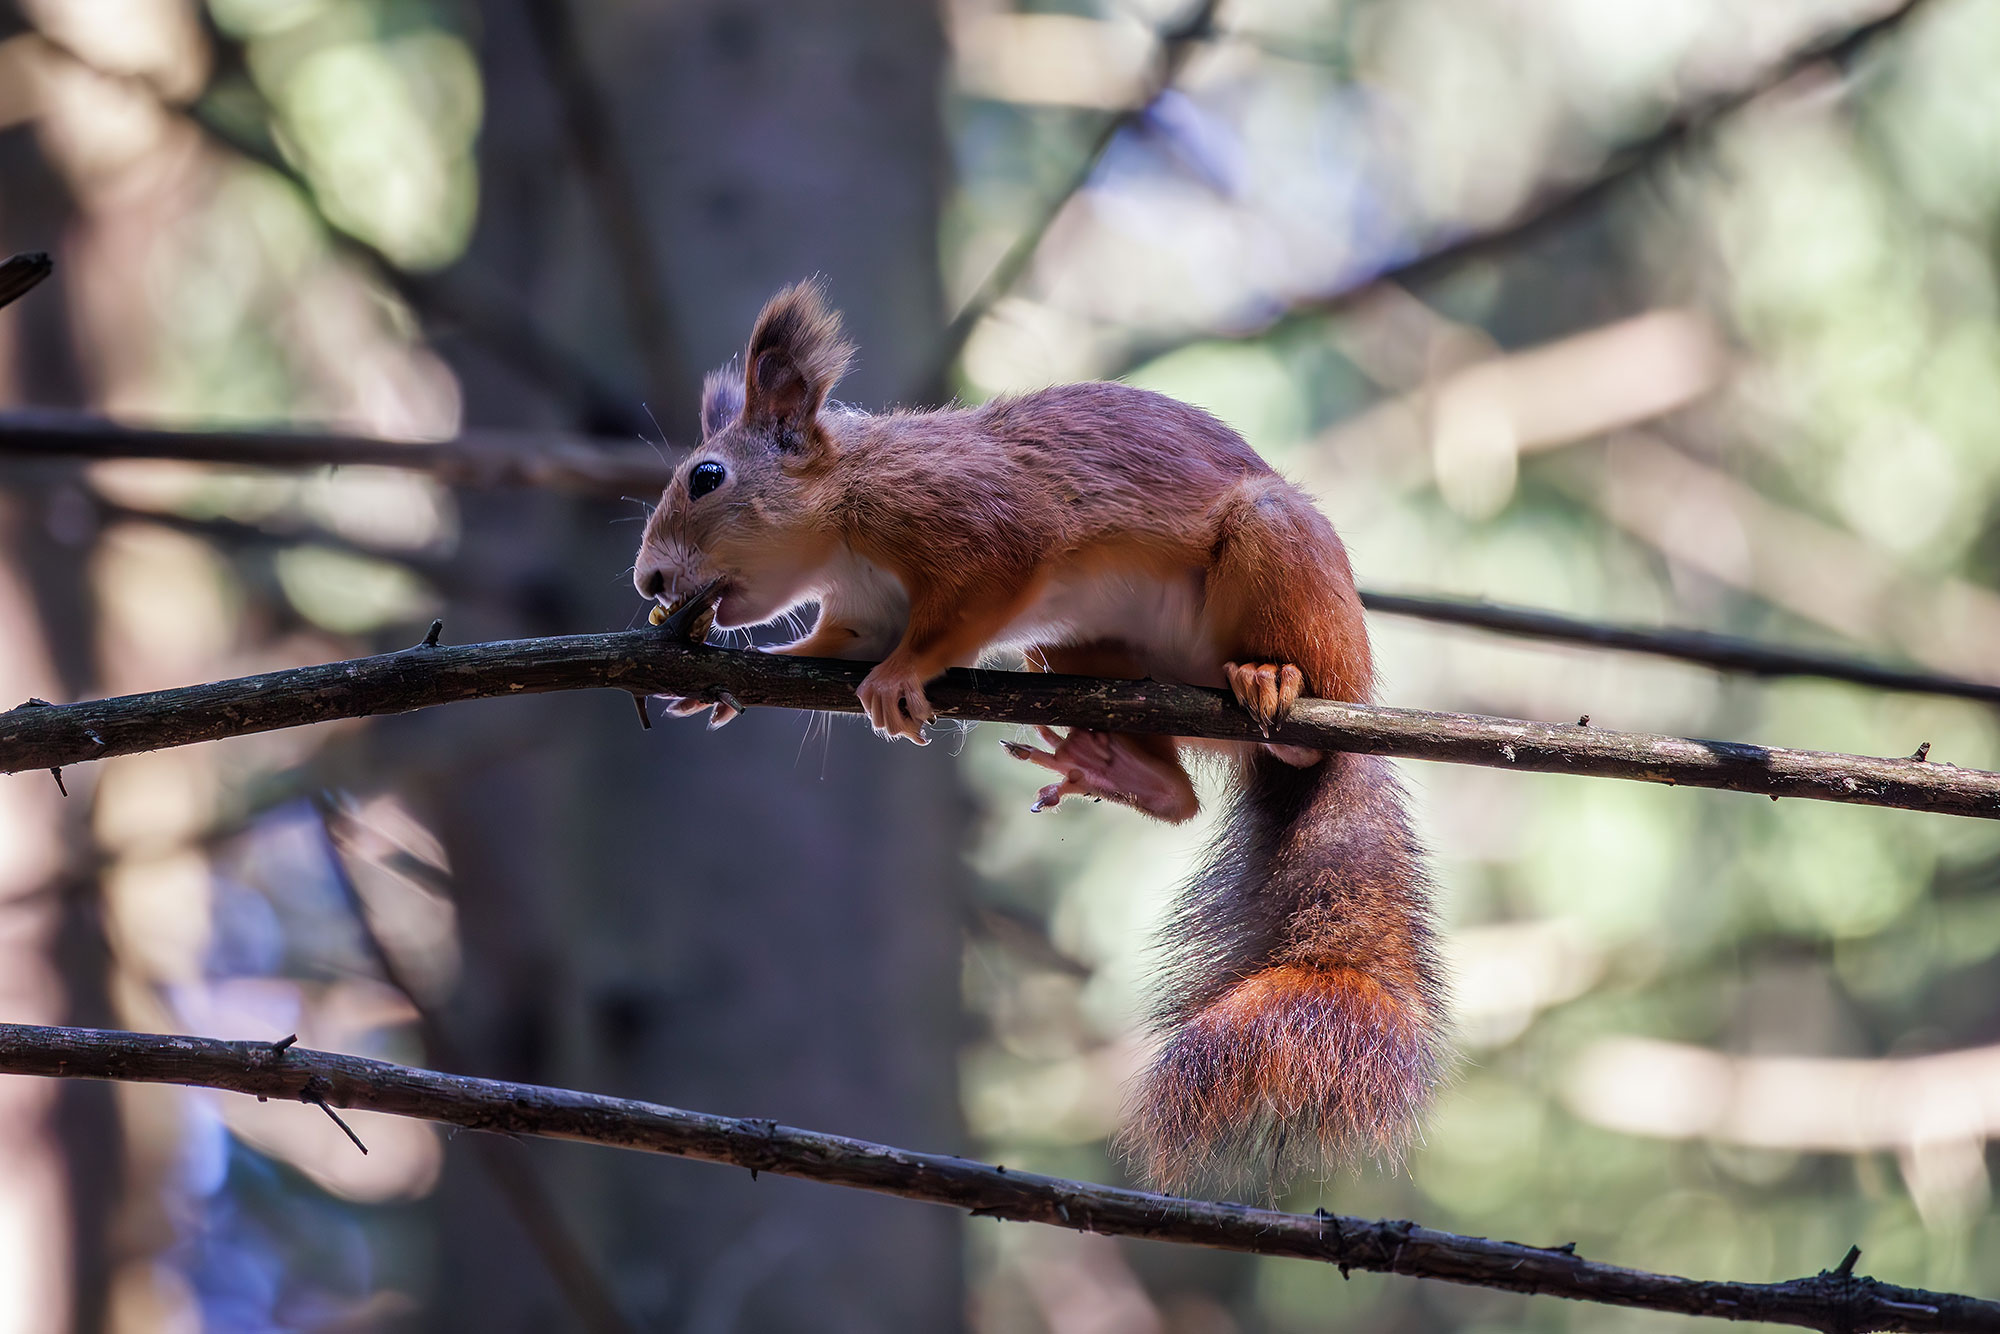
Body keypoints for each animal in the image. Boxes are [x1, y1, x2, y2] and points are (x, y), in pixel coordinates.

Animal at [636, 282, 1440, 1192]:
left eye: (706, 477)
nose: (649, 581)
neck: (844, 508)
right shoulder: (863, 611)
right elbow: (830, 649)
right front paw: (724, 679)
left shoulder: (975, 521)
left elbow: (972, 599)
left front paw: (899, 680)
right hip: (1083, 651)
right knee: (1179, 789)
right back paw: (1122, 766)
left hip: (1283, 559)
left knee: (1302, 715)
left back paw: (1275, 686)